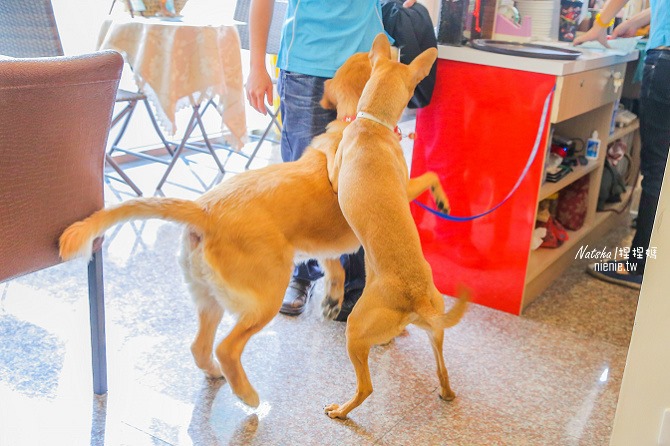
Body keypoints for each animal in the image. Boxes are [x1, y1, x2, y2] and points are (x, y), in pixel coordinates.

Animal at [60, 50, 454, 410]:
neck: (354, 118)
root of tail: (204, 209)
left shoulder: (321, 245)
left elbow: (334, 267)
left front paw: (332, 299)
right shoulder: (399, 191)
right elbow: (430, 177)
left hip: (208, 297)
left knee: (200, 346)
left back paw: (216, 374)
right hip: (264, 296)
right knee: (227, 347)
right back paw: (247, 396)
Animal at [324, 34, 468, 418]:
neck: (372, 125)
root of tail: (415, 298)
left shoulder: (336, 174)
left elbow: (329, 158)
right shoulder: (408, 187)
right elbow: (431, 174)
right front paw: (443, 200)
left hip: (356, 332)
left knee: (366, 388)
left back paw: (341, 411)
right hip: (435, 330)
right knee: (442, 368)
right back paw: (446, 392)